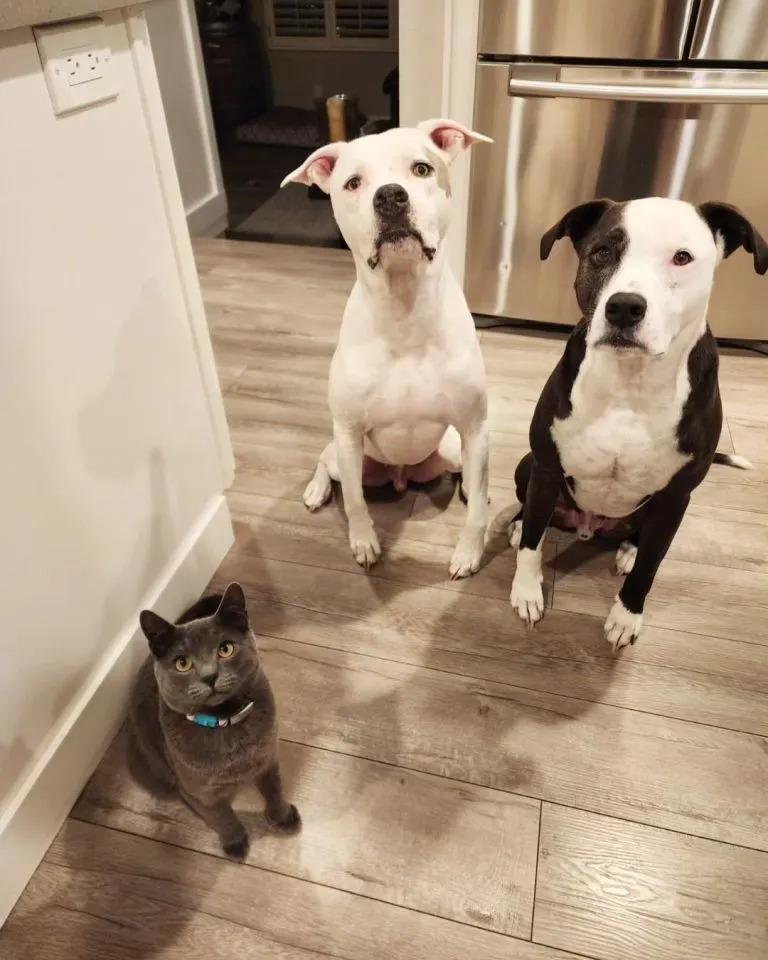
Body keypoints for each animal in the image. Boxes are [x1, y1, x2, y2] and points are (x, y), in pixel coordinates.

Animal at [127, 580, 298, 860]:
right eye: (182, 663)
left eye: (225, 648)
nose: (210, 676)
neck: (224, 722)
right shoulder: (200, 792)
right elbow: (222, 817)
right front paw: (236, 844)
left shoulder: (269, 758)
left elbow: (275, 789)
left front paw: (283, 817)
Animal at [282, 116, 492, 572]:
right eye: (353, 183)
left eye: (422, 169)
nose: (390, 197)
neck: (405, 309)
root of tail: (399, 474)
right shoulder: (348, 431)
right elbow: (356, 503)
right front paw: (364, 542)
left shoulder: (474, 427)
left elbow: (477, 514)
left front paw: (468, 553)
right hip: (350, 458)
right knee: (328, 463)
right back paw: (316, 489)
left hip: (450, 449)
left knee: (466, 476)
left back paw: (470, 487)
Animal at [508, 201, 764, 652]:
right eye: (602, 253)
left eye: (682, 257)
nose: (624, 306)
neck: (630, 380)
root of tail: (589, 526)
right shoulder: (546, 467)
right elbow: (532, 542)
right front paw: (526, 591)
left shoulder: (677, 497)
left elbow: (651, 566)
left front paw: (626, 616)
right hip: (528, 466)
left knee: (642, 541)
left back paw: (628, 549)